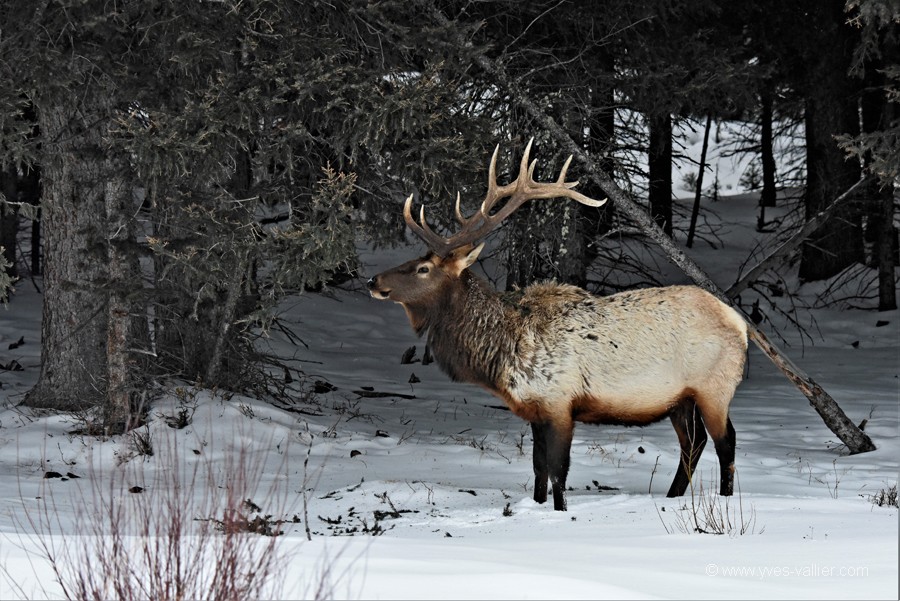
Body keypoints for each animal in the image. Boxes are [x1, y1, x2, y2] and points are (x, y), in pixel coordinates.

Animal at [366, 141, 744, 510]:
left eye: (423, 269)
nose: (372, 280)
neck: (501, 354)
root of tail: (738, 323)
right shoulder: (535, 409)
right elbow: (538, 469)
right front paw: (537, 506)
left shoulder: (560, 402)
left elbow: (558, 472)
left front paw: (560, 513)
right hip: (680, 399)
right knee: (693, 443)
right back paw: (672, 497)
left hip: (714, 386)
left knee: (725, 442)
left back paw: (725, 499)